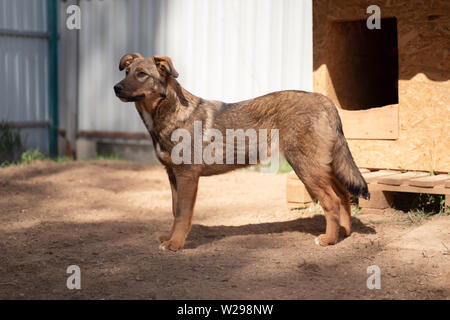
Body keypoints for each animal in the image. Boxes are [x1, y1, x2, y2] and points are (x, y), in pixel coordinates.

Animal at [113, 53, 370, 251]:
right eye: (126, 72)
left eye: (141, 74)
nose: (115, 88)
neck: (169, 112)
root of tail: (325, 101)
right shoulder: (173, 175)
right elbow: (175, 212)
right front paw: (170, 237)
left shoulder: (187, 176)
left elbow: (183, 214)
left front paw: (176, 244)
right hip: (322, 166)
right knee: (343, 195)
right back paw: (344, 234)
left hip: (307, 168)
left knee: (332, 201)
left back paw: (328, 240)